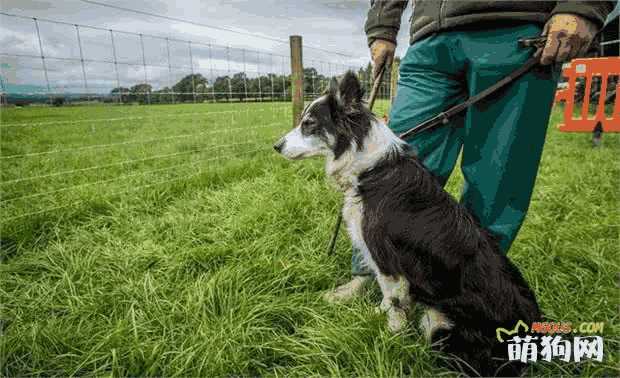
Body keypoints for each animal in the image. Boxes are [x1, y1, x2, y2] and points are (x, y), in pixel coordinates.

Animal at [274, 71, 540, 376]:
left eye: (309, 124)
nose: (276, 146)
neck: (370, 168)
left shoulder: (388, 262)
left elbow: (393, 303)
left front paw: (389, 339)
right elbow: (386, 299)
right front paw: (372, 316)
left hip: (438, 323)